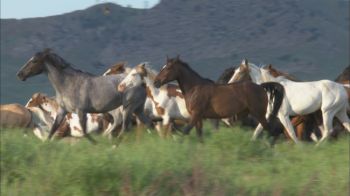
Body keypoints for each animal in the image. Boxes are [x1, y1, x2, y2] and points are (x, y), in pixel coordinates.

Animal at [17, 48, 152, 143]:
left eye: (34, 61)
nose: (20, 74)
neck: (68, 83)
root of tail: (142, 82)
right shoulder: (62, 111)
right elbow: (53, 129)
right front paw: (45, 145)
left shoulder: (81, 111)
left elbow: (84, 132)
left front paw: (96, 144)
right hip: (138, 109)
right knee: (148, 124)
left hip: (128, 108)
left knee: (125, 128)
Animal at [153, 56, 284, 141]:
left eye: (168, 68)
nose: (156, 82)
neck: (195, 88)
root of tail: (260, 87)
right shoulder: (199, 118)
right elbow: (199, 135)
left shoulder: (196, 115)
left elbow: (186, 131)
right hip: (244, 115)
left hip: (258, 114)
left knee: (270, 130)